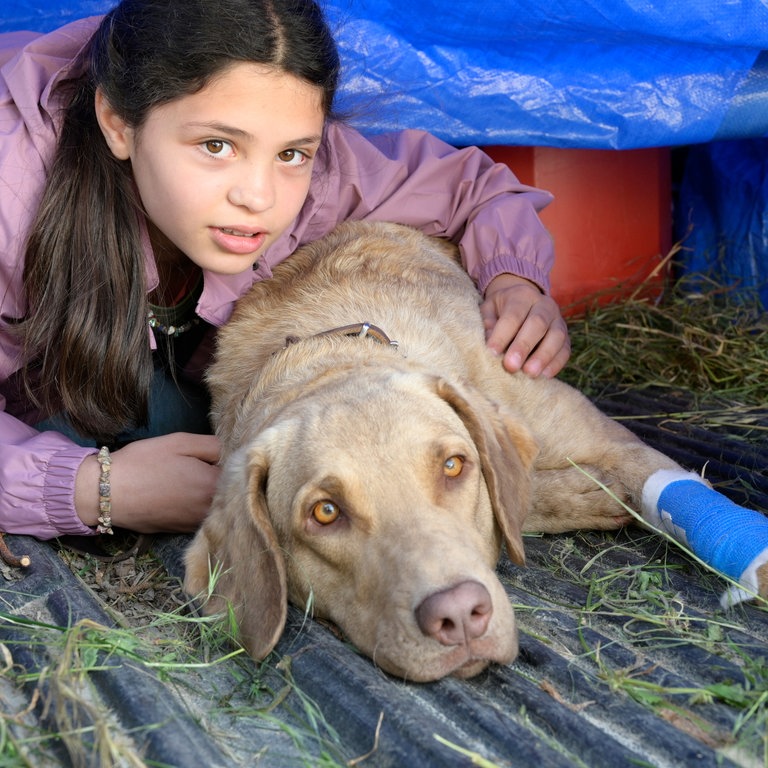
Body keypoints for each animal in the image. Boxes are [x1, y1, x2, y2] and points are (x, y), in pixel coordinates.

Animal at [186, 219, 684, 680]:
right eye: (325, 512)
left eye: (453, 466)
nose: (460, 614)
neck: (327, 355)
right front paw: (582, 493)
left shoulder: (619, 444)